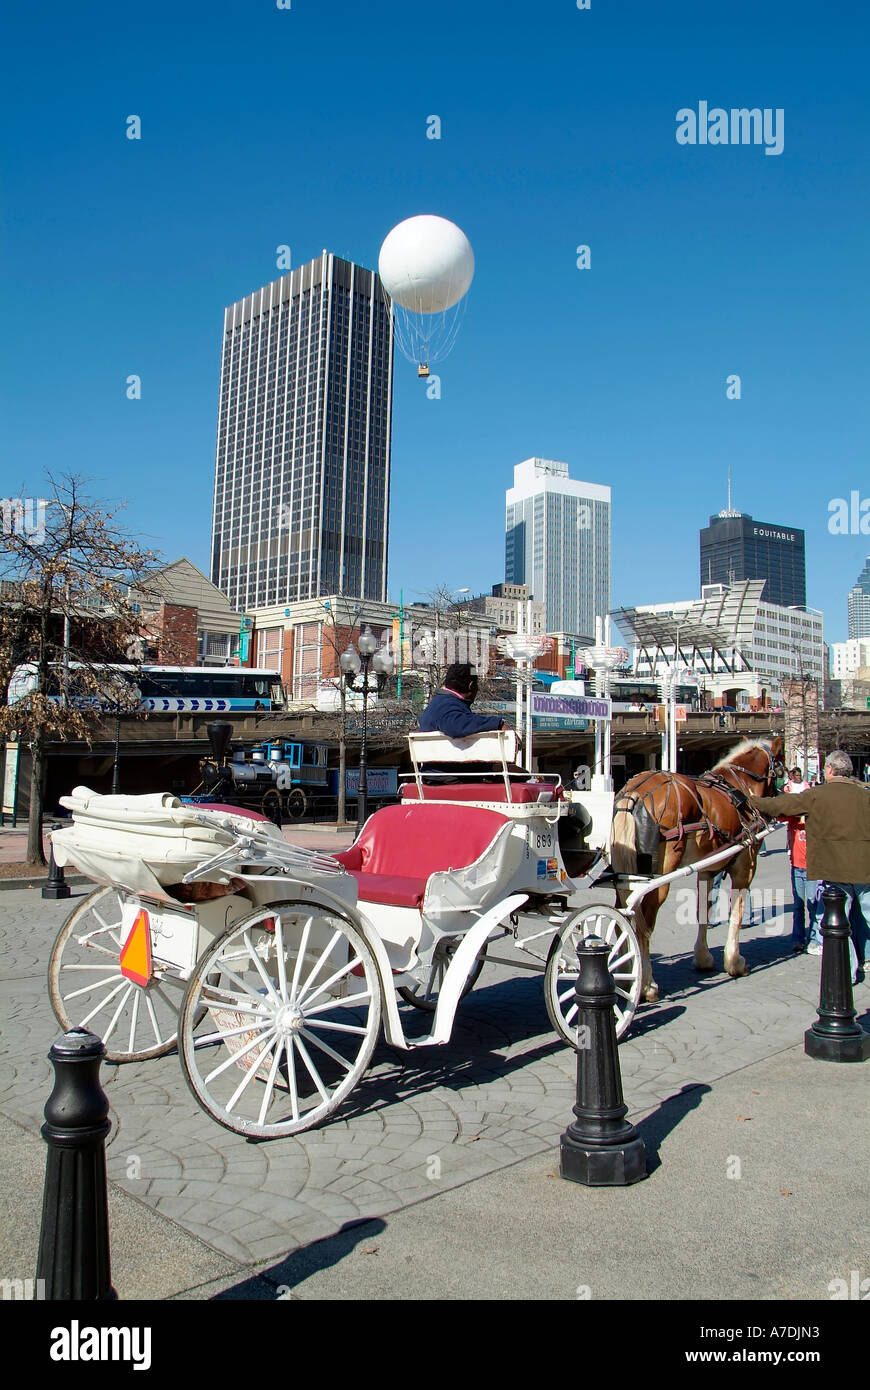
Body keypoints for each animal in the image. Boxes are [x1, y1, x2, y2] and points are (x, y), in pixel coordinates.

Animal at [605, 739, 783, 1000]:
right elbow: (737, 912)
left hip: (625, 874)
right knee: (644, 924)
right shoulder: (745, 864)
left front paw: (703, 957)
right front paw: (735, 961)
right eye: (780, 767)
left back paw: (626, 973)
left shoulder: (707, 869)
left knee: (622, 918)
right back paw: (647, 984)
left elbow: (703, 911)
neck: (739, 787)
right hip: (658, 878)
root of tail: (633, 794)